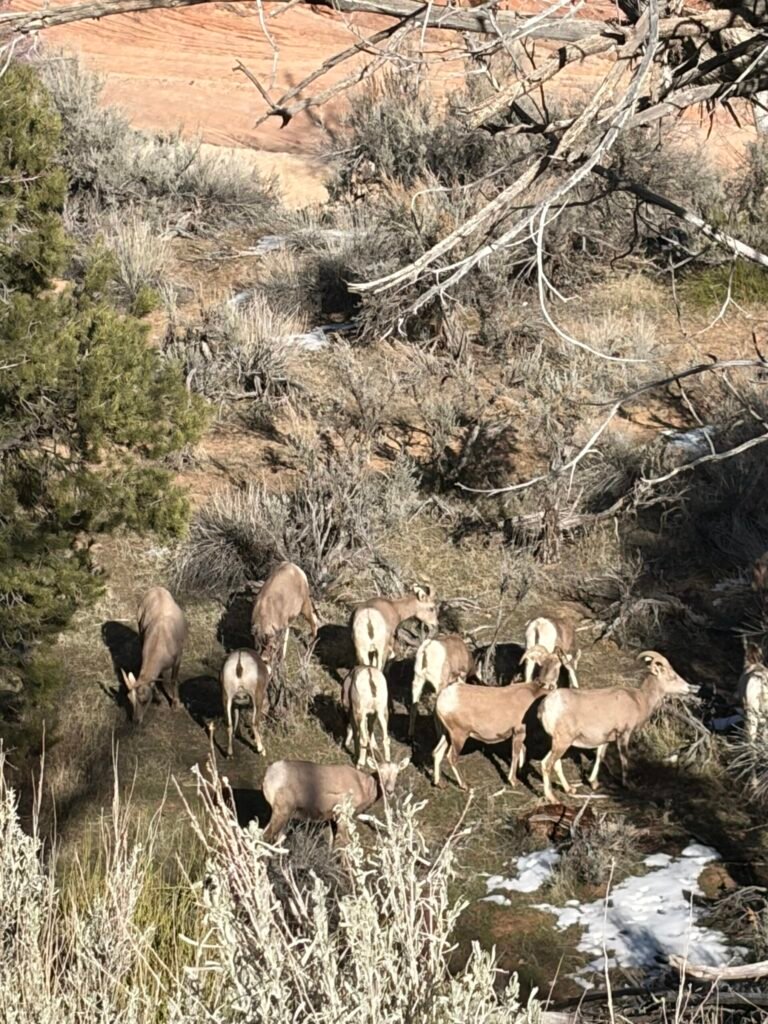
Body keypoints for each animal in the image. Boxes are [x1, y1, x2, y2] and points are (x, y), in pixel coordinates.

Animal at [121, 586, 187, 724]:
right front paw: (158, 698)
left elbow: (173, 680)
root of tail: (156, 588)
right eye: (129, 698)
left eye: (144, 700)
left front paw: (175, 705)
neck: (160, 641)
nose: (136, 720)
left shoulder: (178, 658)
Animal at [262, 756, 411, 845]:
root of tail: (270, 774)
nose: (389, 791)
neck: (363, 786)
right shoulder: (342, 815)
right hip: (282, 813)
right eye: (380, 771)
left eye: (397, 773)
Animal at [432, 656, 561, 790]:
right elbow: (515, 753)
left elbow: (522, 751)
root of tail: (441, 698)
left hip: (446, 735)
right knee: (452, 757)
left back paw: (440, 784)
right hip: (459, 736)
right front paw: (513, 781)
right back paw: (465, 785)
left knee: (437, 753)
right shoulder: (519, 732)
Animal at [538, 651, 697, 803]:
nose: (690, 688)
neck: (640, 700)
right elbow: (624, 758)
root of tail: (546, 706)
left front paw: (594, 783)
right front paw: (629, 785)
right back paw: (553, 799)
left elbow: (600, 756)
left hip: (558, 743)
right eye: (672, 677)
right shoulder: (624, 734)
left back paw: (570, 790)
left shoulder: (606, 739)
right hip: (563, 742)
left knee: (552, 763)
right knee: (547, 765)